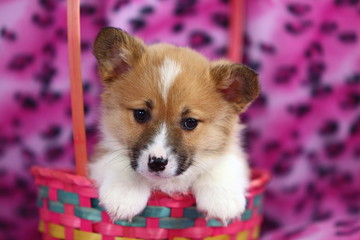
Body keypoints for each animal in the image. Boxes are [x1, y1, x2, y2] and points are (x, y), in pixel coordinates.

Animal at [89, 27, 258, 224]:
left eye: (190, 122)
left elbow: (222, 166)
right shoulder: (102, 156)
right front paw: (123, 195)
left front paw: (222, 200)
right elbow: (121, 164)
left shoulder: (229, 155)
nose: (157, 163)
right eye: (140, 114)